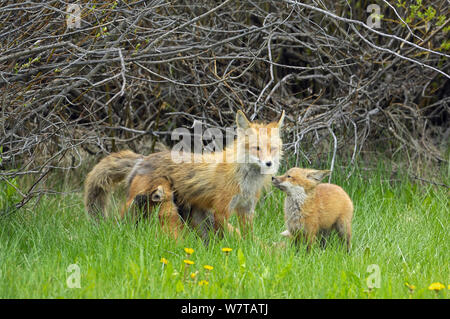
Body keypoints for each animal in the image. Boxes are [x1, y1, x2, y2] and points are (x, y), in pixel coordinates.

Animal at [83, 110, 284, 238]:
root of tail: (144, 157)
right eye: (257, 148)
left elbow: (248, 238)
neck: (244, 180)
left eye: (272, 149)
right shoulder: (222, 210)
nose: (268, 163)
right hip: (141, 201)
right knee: (122, 220)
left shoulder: (247, 210)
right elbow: (223, 238)